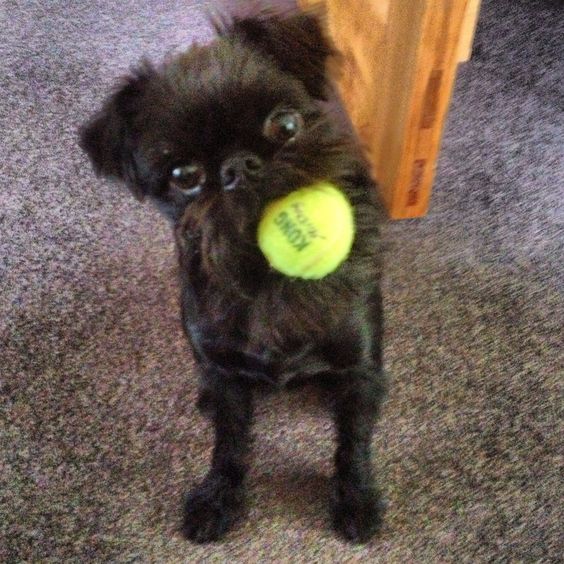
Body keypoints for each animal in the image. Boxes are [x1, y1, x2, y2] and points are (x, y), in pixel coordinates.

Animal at [80, 6, 388, 544]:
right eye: (184, 176)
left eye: (285, 124)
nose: (239, 168)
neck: (267, 281)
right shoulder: (225, 374)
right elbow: (228, 443)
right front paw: (217, 496)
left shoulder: (359, 369)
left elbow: (353, 441)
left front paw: (355, 498)